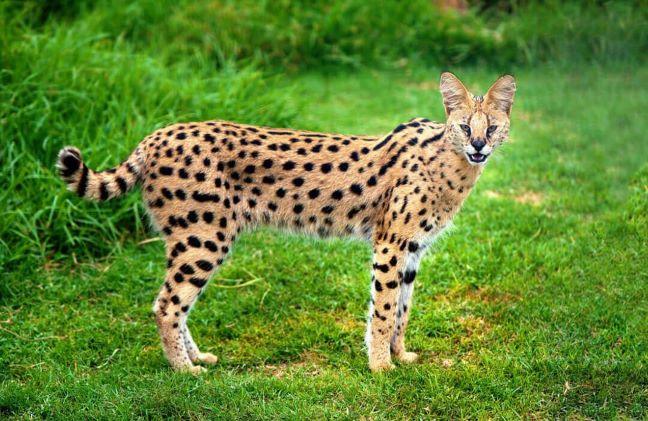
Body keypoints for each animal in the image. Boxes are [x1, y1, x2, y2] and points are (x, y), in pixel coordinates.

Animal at [56, 72, 516, 373]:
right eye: (464, 127)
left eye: (492, 127)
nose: (479, 146)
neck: (452, 164)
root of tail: (157, 134)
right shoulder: (390, 244)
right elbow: (384, 310)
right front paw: (381, 366)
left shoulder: (413, 249)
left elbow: (403, 309)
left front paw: (400, 356)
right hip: (204, 237)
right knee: (167, 304)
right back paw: (184, 370)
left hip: (196, 239)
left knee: (175, 303)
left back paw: (196, 357)